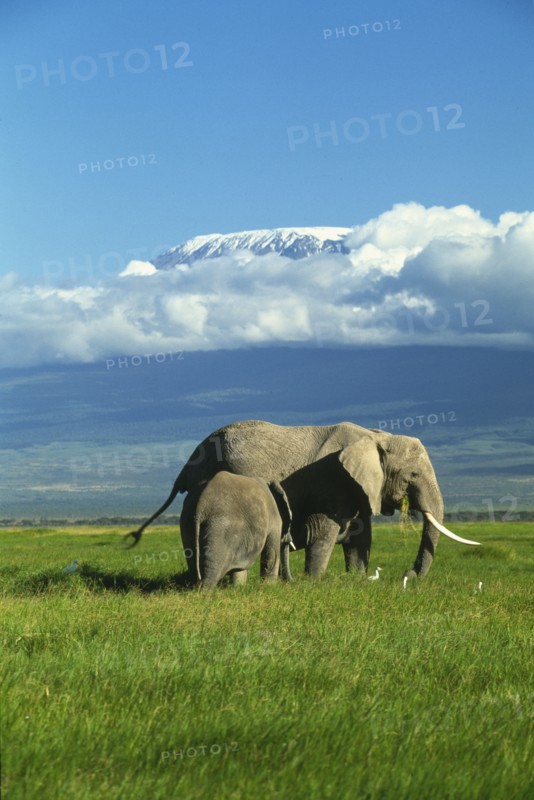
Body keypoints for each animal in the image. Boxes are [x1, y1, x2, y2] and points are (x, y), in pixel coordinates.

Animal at [127, 420, 479, 579]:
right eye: (413, 476)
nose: (408, 575)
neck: (376, 436)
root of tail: (189, 461)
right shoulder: (331, 479)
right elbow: (325, 534)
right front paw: (315, 583)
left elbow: (360, 538)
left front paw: (357, 580)